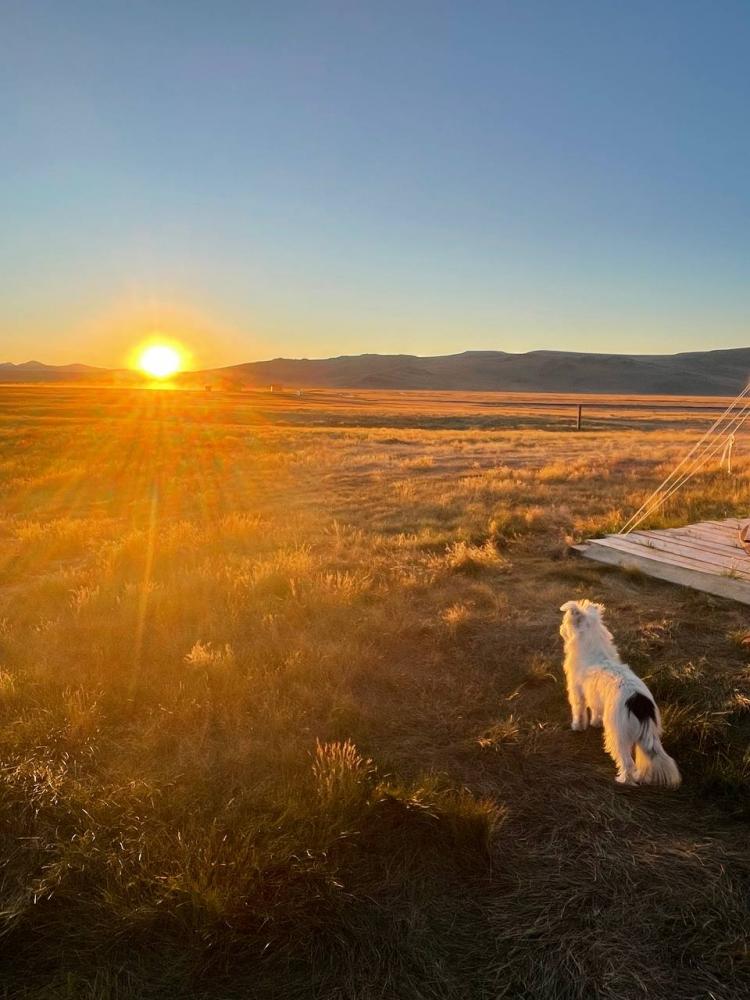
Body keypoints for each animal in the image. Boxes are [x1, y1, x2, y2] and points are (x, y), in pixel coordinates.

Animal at [564, 596, 680, 784]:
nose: (560, 629)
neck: (595, 651)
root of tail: (640, 703)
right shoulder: (597, 699)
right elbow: (596, 712)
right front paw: (595, 723)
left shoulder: (577, 693)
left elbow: (579, 712)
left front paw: (578, 727)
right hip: (646, 736)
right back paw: (642, 776)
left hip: (618, 734)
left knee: (627, 762)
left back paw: (624, 780)